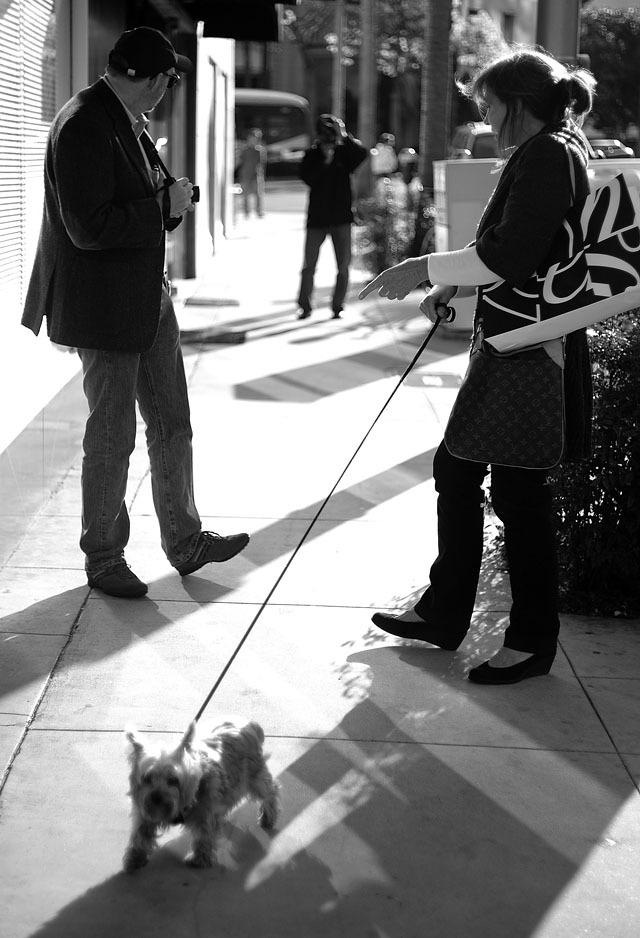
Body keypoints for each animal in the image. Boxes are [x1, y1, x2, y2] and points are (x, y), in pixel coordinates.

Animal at [124, 716, 282, 872]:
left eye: (173, 780)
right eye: (147, 778)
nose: (157, 798)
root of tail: (250, 724)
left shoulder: (206, 811)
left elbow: (203, 835)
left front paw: (199, 858)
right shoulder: (145, 811)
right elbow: (140, 833)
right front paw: (135, 858)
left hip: (254, 777)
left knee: (271, 791)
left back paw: (268, 817)